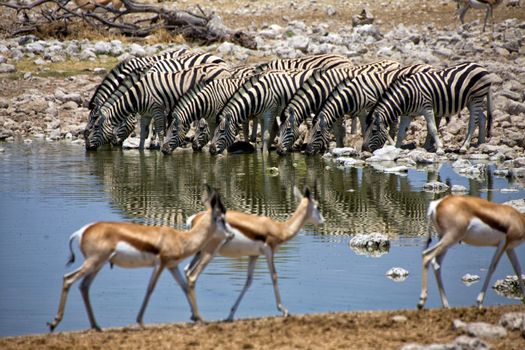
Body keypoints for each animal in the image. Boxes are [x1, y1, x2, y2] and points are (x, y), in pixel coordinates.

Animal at [47, 186, 231, 330]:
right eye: (221, 219)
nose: (230, 235)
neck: (181, 238)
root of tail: (82, 231)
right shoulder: (160, 264)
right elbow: (150, 289)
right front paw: (140, 321)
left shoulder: (172, 266)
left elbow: (185, 287)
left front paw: (199, 318)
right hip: (93, 262)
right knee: (69, 279)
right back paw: (55, 323)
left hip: (97, 264)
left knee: (84, 286)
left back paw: (96, 326)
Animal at [183, 187, 324, 322]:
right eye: (317, 206)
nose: (323, 221)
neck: (279, 229)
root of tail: (194, 219)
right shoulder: (269, 251)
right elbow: (274, 276)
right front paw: (284, 310)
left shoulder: (254, 255)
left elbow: (248, 281)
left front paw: (230, 315)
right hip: (210, 252)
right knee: (193, 276)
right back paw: (197, 317)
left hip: (199, 252)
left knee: (186, 271)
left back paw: (193, 315)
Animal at [272, 59, 400, 155]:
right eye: (279, 130)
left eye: (288, 130)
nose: (278, 151)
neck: (322, 90)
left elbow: (340, 130)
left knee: (393, 122)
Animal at [302, 64, 434, 154]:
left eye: (318, 132)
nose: (307, 150)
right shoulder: (358, 111)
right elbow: (342, 129)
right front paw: (341, 147)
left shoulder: (369, 109)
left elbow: (364, 128)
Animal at [360, 61, 492, 154]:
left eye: (374, 131)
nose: (364, 149)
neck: (406, 96)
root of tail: (481, 67)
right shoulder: (407, 114)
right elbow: (401, 133)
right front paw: (396, 149)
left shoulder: (427, 108)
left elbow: (432, 128)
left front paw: (440, 149)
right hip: (471, 101)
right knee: (482, 118)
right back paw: (480, 143)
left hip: (476, 98)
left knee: (473, 122)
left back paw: (464, 147)